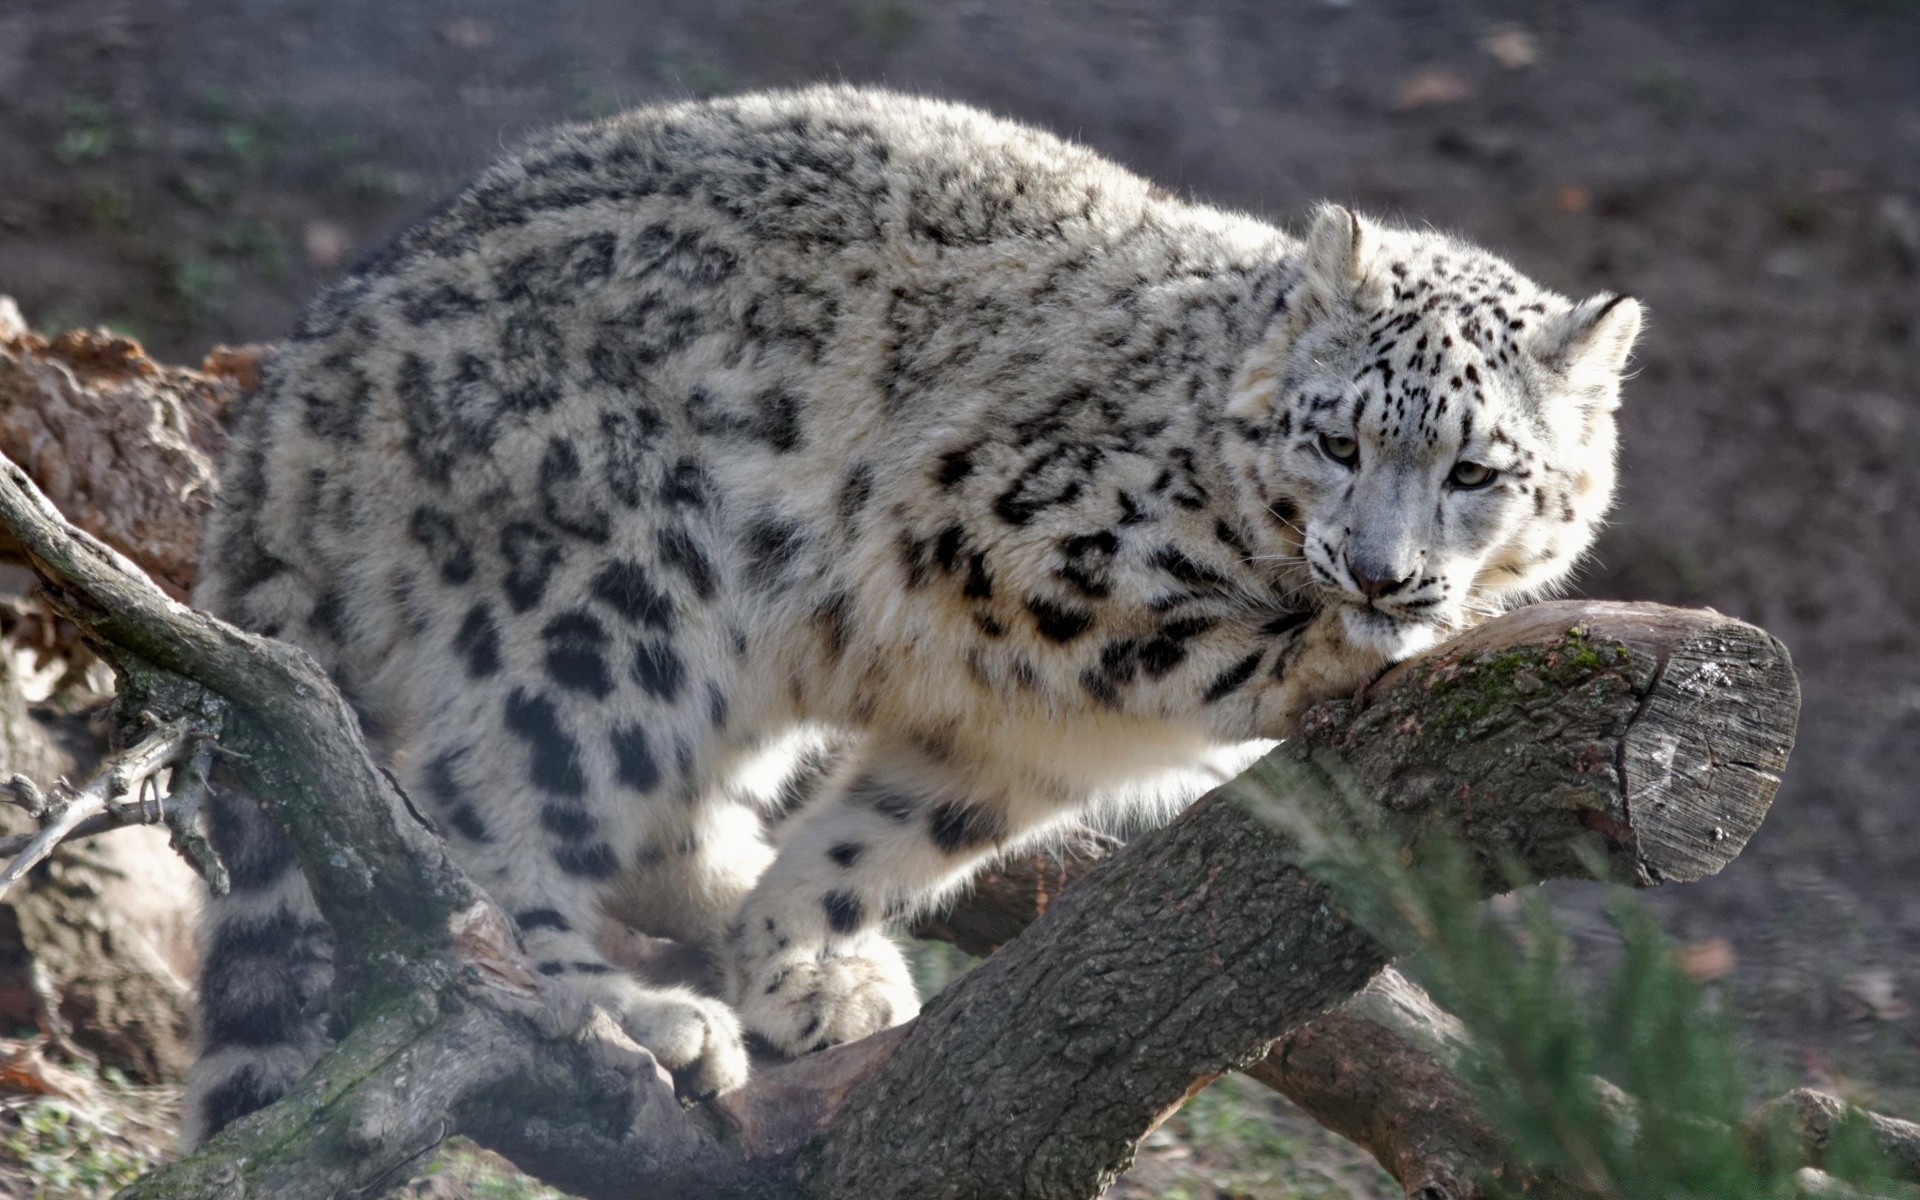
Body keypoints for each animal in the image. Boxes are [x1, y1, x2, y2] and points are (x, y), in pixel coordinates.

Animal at [187, 86, 1643, 1144]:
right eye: (1340, 440)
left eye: (1477, 471)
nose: (1386, 572)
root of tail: (296, 388)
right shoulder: (1009, 534)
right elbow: (1175, 638)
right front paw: (1332, 652)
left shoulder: (1018, 738)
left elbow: (889, 837)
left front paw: (799, 957)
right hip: (611, 603)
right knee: (485, 808)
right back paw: (624, 1018)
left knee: (659, 820)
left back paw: (806, 964)